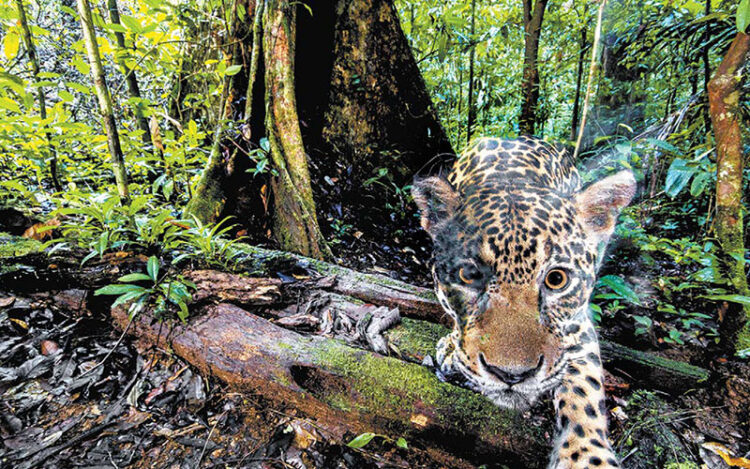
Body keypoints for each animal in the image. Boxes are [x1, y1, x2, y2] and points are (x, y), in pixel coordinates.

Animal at [412, 136, 636, 469]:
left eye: (557, 279)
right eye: (468, 275)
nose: (512, 376)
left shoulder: (577, 325)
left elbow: (584, 385)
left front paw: (585, 455)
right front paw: (453, 348)